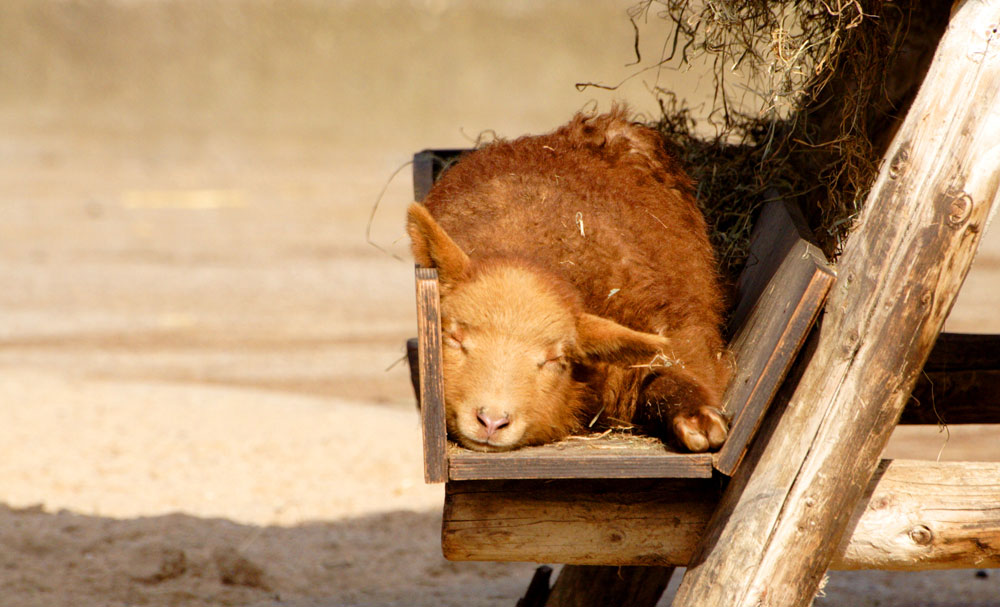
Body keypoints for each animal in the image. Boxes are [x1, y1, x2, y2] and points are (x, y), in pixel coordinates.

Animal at [410, 108, 732, 452]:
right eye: (454, 337)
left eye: (556, 358)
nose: (492, 421)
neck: (528, 251)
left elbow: (672, 376)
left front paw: (696, 417)